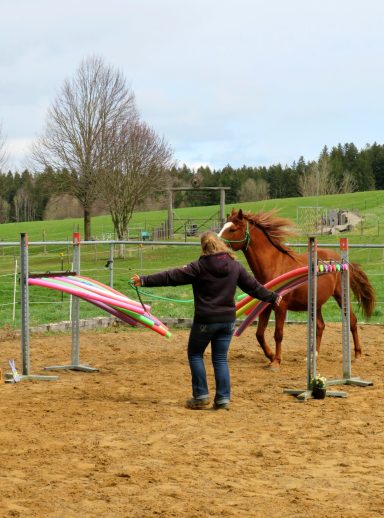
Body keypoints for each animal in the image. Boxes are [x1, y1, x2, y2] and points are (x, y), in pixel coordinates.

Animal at [219, 207, 376, 370]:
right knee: (320, 326)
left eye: (232, 229)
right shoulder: (265, 305)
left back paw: (357, 354)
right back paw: (313, 356)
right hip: (316, 303)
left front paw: (276, 361)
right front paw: (271, 356)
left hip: (340, 297)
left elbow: (278, 334)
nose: (216, 244)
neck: (274, 265)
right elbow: (259, 334)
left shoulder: (281, 306)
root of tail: (342, 260)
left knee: (352, 321)